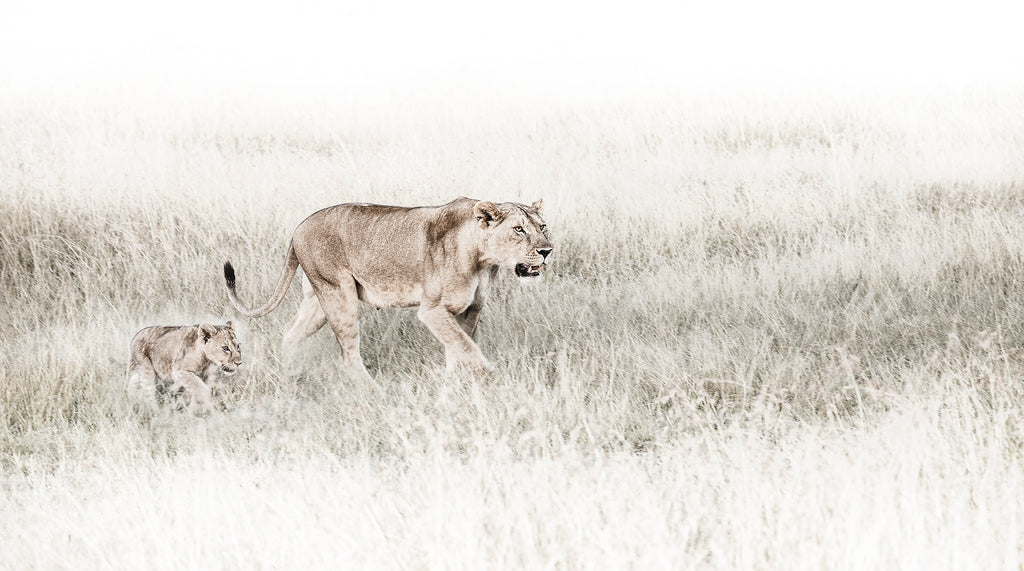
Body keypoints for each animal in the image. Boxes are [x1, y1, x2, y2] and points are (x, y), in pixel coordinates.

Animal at [223, 197, 552, 380]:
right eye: (518, 229)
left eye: (542, 226)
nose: (547, 250)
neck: (482, 258)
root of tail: (297, 228)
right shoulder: (433, 310)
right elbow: (468, 348)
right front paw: (493, 379)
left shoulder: (470, 308)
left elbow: (459, 347)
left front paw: (455, 384)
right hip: (339, 295)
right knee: (348, 354)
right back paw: (371, 391)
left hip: (318, 298)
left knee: (291, 333)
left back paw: (289, 373)